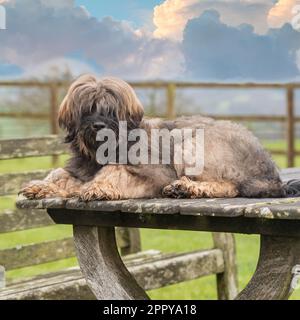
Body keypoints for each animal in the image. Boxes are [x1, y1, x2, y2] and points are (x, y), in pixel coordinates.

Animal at [20, 75, 300, 200]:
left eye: (111, 110)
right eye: (88, 108)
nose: (98, 125)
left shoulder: (153, 172)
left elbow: (115, 171)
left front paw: (98, 187)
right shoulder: (80, 168)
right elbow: (60, 174)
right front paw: (41, 185)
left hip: (193, 144)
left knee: (230, 186)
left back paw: (185, 187)